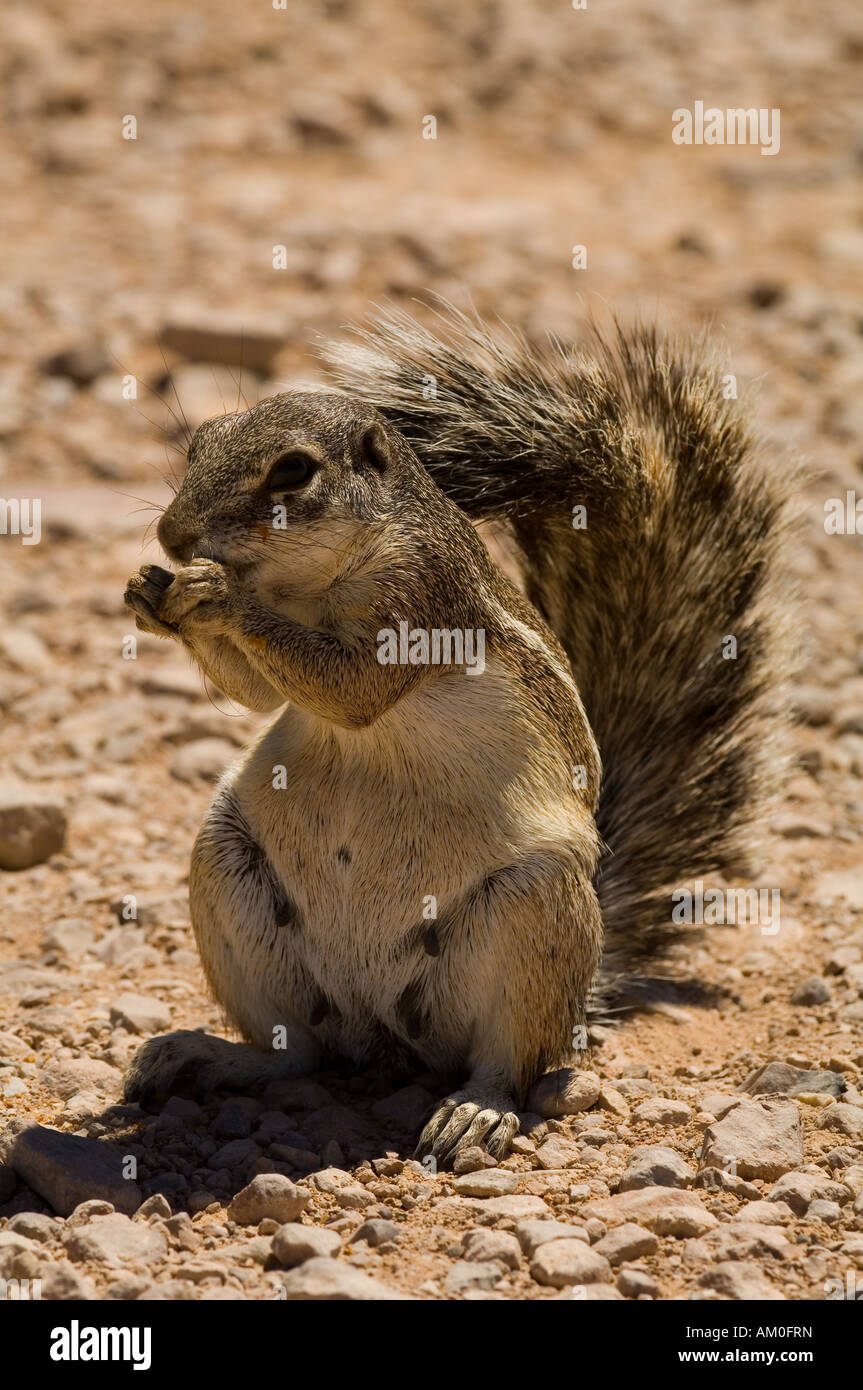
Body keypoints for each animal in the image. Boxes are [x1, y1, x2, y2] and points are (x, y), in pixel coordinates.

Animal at [122, 304, 794, 1162]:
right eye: (199, 440)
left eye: (293, 472)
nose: (175, 539)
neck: (304, 583)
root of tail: (379, 1032)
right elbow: (255, 691)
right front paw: (151, 594)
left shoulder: (419, 597)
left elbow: (349, 690)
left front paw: (216, 597)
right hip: (228, 873)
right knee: (295, 1054)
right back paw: (204, 1056)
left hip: (534, 918)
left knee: (507, 1061)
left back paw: (474, 1111)